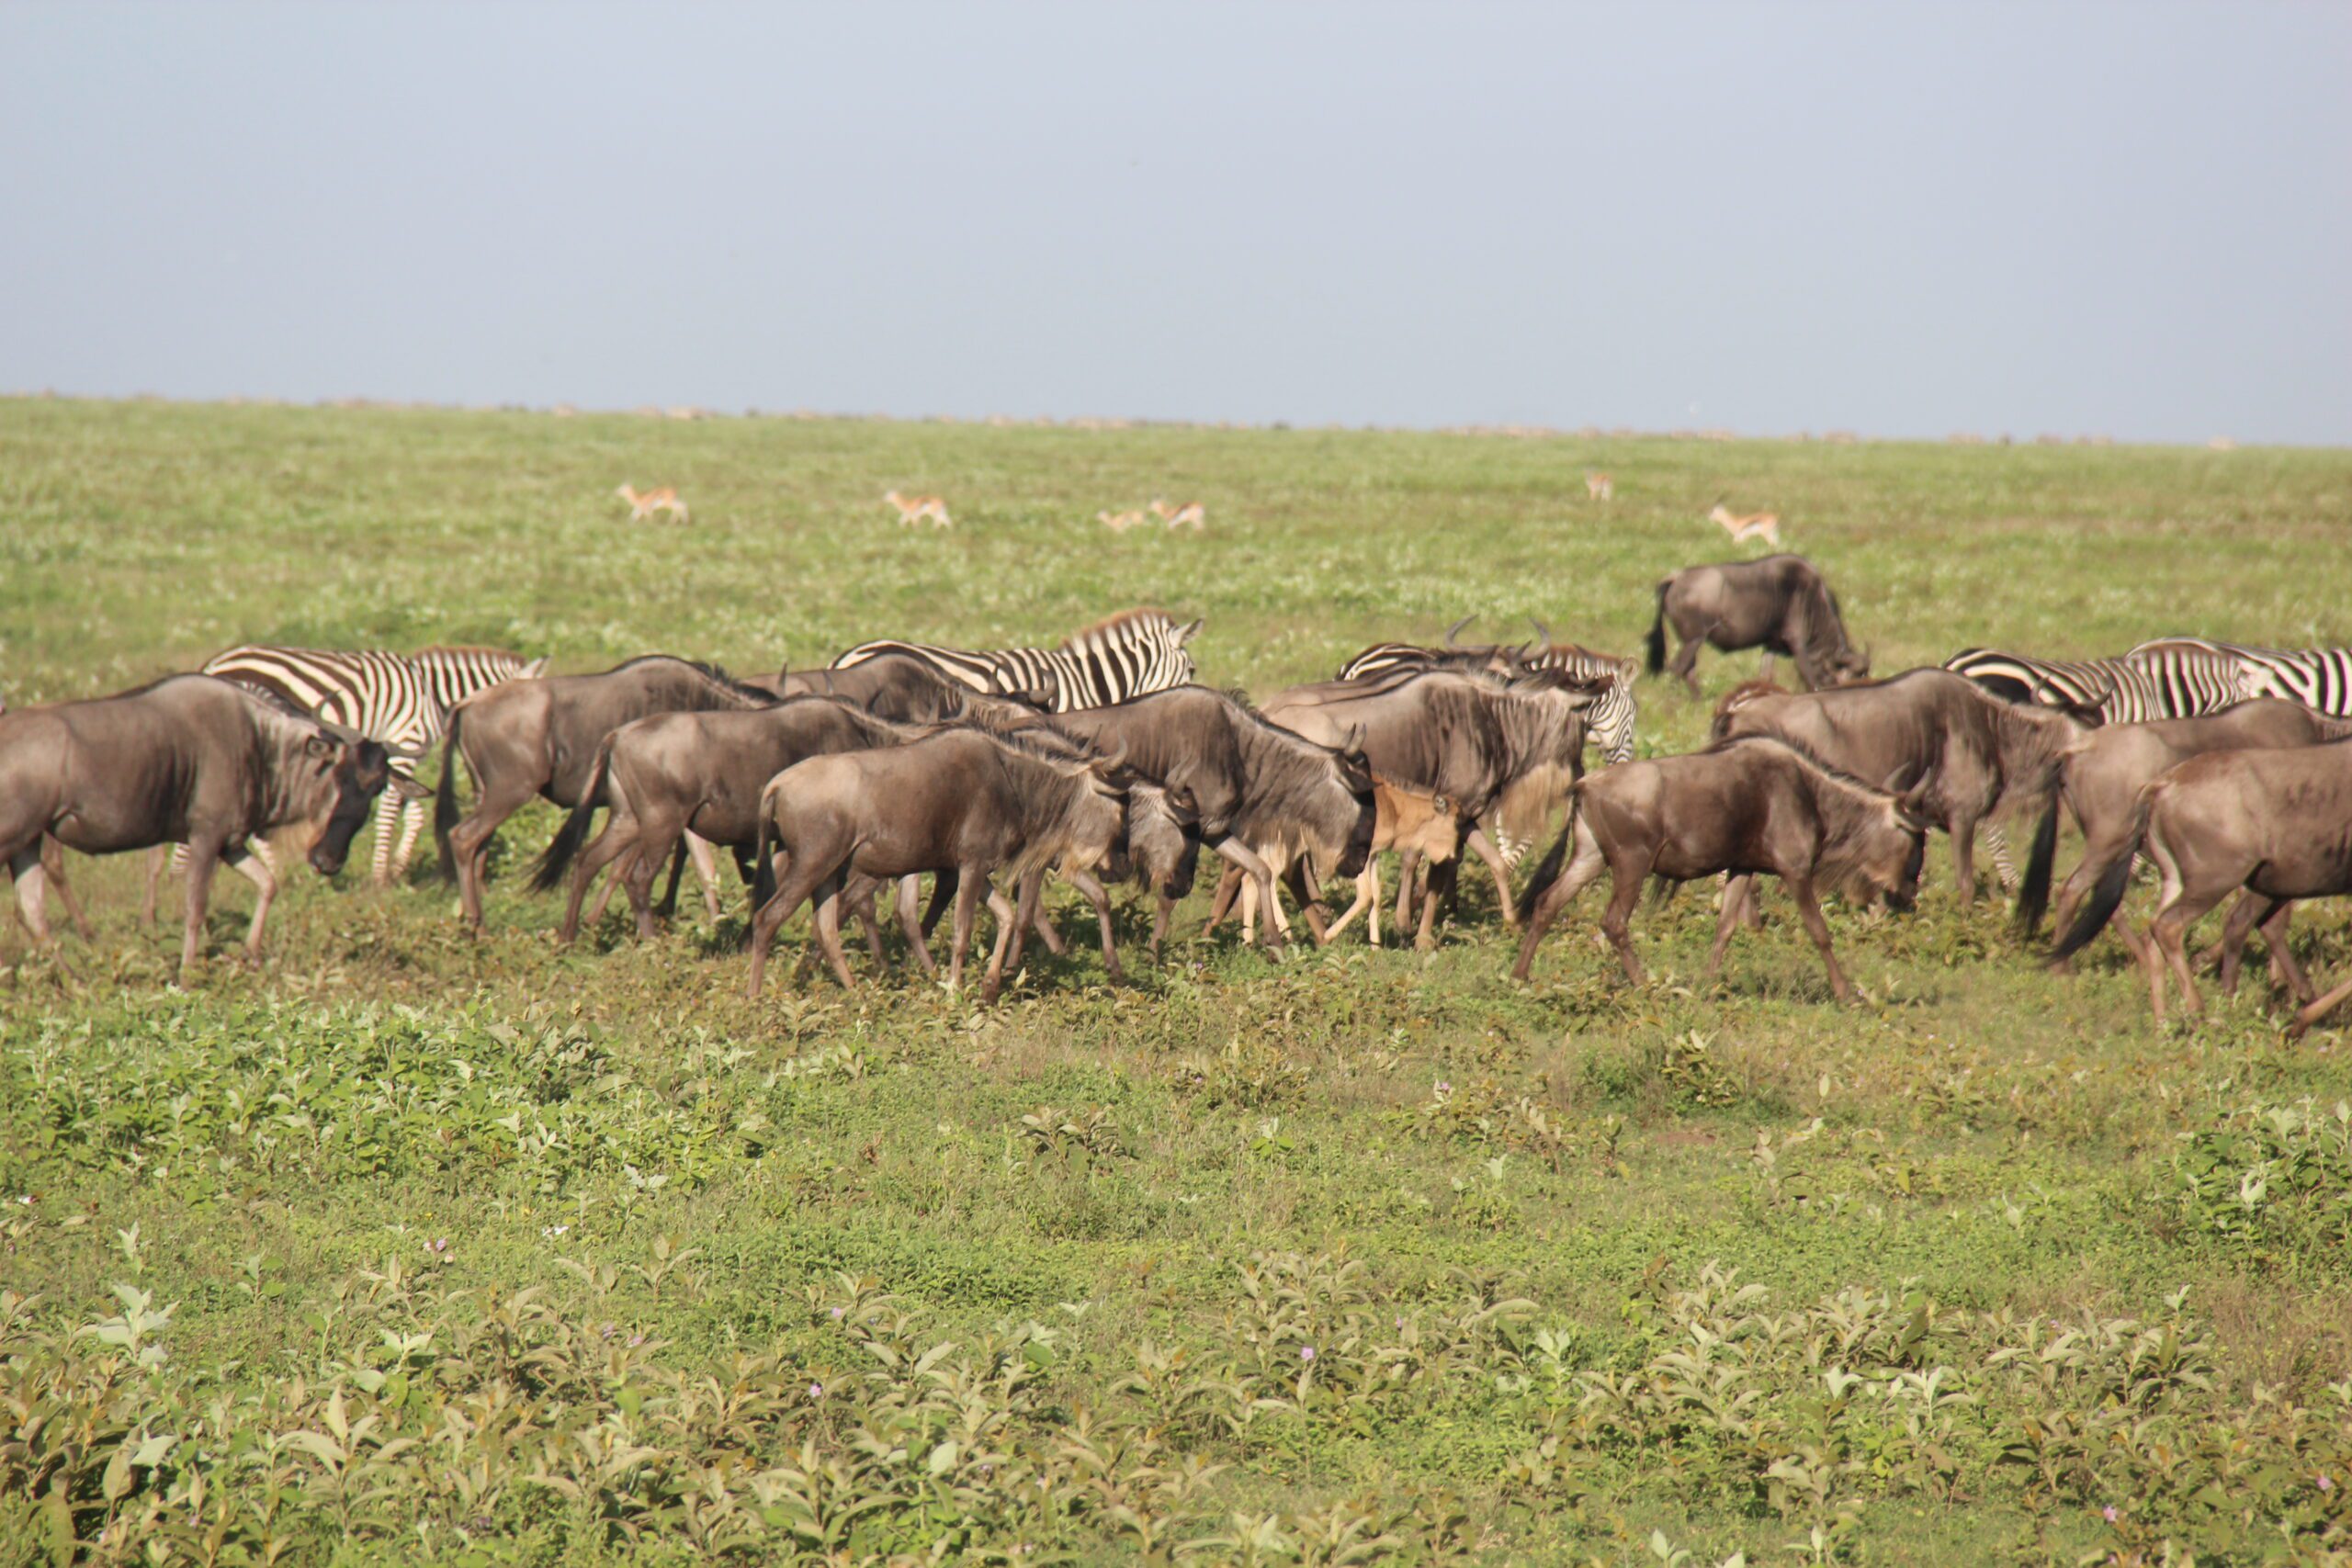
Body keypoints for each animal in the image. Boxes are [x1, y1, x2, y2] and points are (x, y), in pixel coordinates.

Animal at [198, 639, 545, 884]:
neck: (433, 694)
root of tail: (213, 663)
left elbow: (415, 813)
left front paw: (399, 868)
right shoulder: (406, 742)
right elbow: (392, 809)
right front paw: (379, 876)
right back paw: (277, 872)